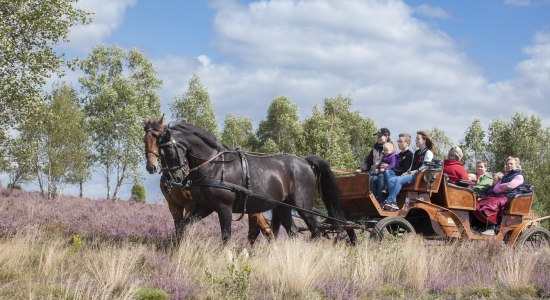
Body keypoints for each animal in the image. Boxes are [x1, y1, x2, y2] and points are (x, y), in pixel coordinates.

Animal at [143, 116, 276, 245]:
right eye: (145, 140)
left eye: (158, 139)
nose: (150, 166)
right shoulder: (175, 206)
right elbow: (179, 229)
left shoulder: (192, 205)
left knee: (263, 230)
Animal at [153, 118, 356, 243]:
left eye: (168, 150)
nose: (176, 178)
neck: (213, 166)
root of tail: (305, 162)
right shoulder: (203, 207)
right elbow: (182, 228)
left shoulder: (224, 208)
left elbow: (226, 235)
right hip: (283, 207)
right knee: (293, 232)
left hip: (303, 207)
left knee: (316, 231)